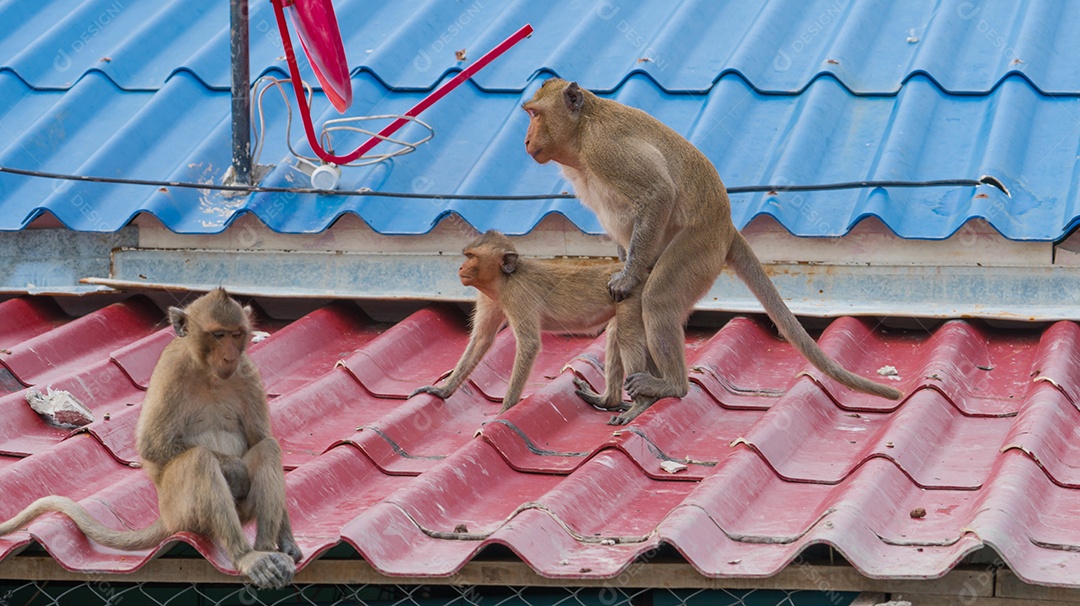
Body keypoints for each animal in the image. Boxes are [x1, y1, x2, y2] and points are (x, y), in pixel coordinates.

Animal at [0, 291, 302, 587]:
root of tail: (165, 518)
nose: (229, 357)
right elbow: (153, 445)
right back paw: (246, 556)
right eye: (218, 335)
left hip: (238, 510)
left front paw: (287, 541)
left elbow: (258, 438)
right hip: (180, 509)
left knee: (267, 448)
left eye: (236, 334)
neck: (209, 373)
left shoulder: (247, 372)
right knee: (200, 460)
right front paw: (236, 471)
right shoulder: (172, 371)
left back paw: (267, 550)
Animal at [410, 226, 656, 414]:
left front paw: (504, 410)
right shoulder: (490, 298)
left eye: (472, 257)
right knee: (615, 334)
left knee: (626, 336)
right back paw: (609, 400)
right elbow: (482, 339)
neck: (504, 280)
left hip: (632, 295)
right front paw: (442, 390)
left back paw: (640, 404)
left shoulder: (517, 295)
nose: (461, 267)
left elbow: (529, 345)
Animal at [522, 75, 902, 423]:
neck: (582, 133)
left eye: (535, 114)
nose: (526, 139)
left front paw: (627, 278)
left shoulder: (604, 148)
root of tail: (727, 224)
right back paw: (612, 397)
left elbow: (659, 193)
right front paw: (627, 270)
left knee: (658, 298)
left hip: (699, 248)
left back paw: (671, 386)